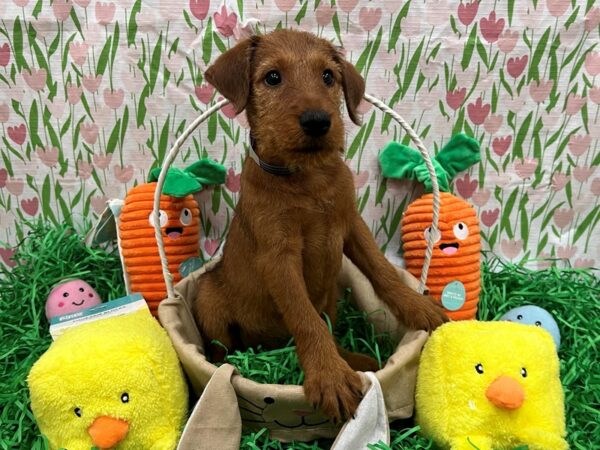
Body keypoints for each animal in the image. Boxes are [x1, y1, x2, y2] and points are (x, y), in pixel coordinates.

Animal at [195, 29, 448, 424]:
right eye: (272, 77)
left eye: (328, 76)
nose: (318, 121)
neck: (308, 179)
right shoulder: (278, 257)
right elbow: (305, 317)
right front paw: (329, 376)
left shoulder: (351, 226)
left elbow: (382, 269)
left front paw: (417, 307)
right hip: (207, 296)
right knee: (224, 350)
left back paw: (360, 360)